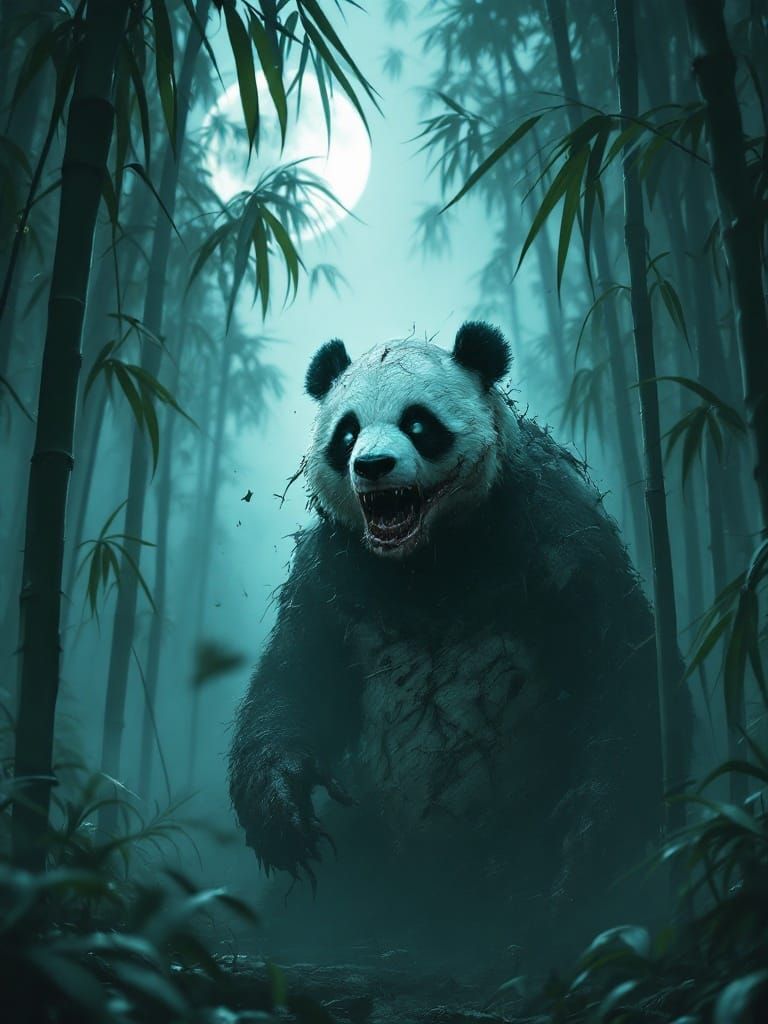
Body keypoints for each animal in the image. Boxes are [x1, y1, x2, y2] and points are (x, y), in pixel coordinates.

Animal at [229, 322, 689, 969]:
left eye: (419, 423)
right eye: (346, 431)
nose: (372, 465)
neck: (427, 559)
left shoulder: (551, 534)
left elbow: (623, 666)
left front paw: (581, 852)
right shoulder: (335, 570)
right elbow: (297, 680)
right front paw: (283, 812)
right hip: (370, 828)